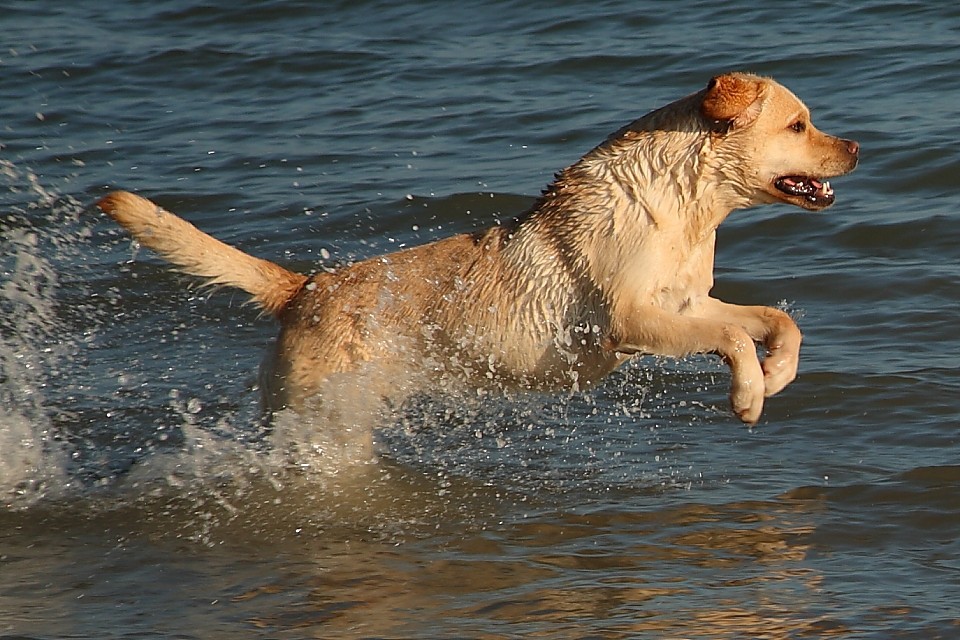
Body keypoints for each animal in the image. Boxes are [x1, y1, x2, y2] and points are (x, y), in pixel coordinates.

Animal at [97, 72, 860, 424]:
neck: (683, 208)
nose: (856, 146)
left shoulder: (687, 304)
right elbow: (733, 338)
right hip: (323, 408)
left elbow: (776, 321)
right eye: (799, 124)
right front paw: (749, 395)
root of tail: (304, 287)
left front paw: (777, 375)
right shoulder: (633, 322)